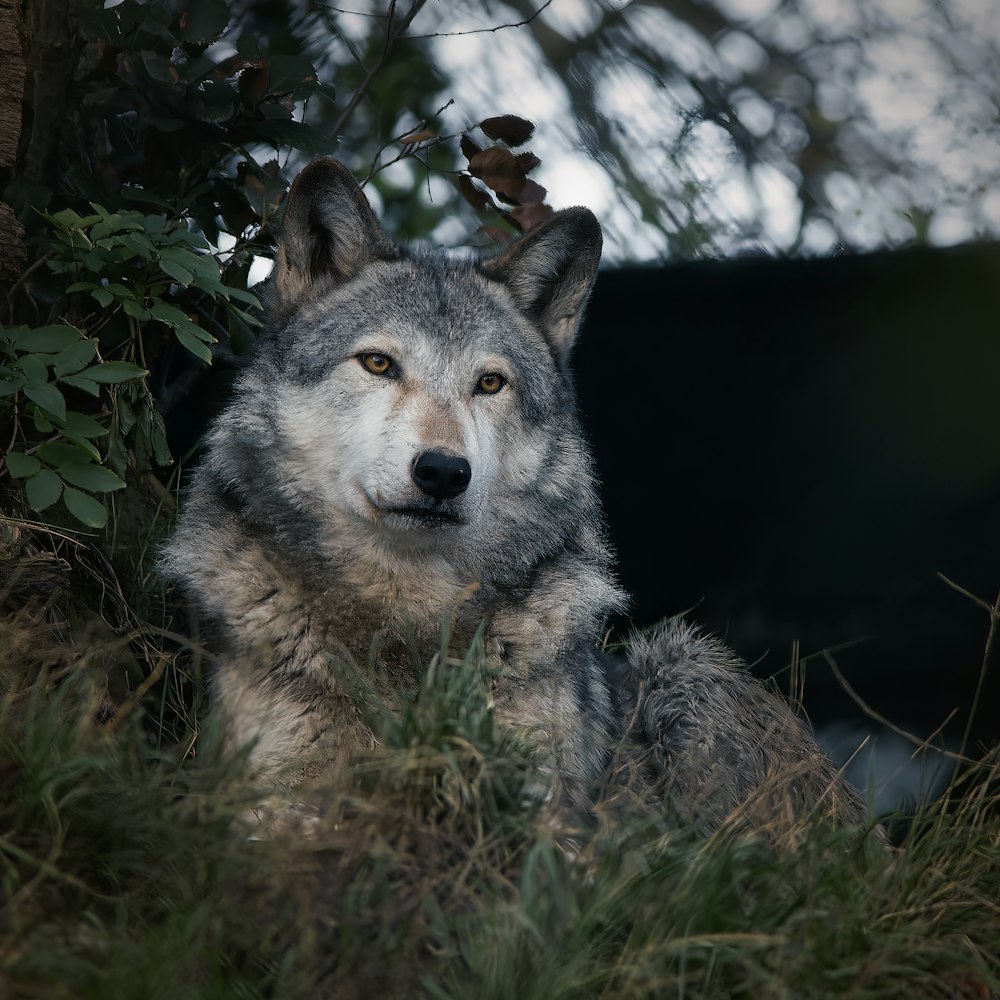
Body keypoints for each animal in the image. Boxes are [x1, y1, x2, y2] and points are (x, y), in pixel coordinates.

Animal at [162, 160, 868, 832]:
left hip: (683, 664)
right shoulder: (265, 803)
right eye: (378, 364)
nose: (443, 472)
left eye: (490, 383)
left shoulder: (540, 817)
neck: (407, 619)